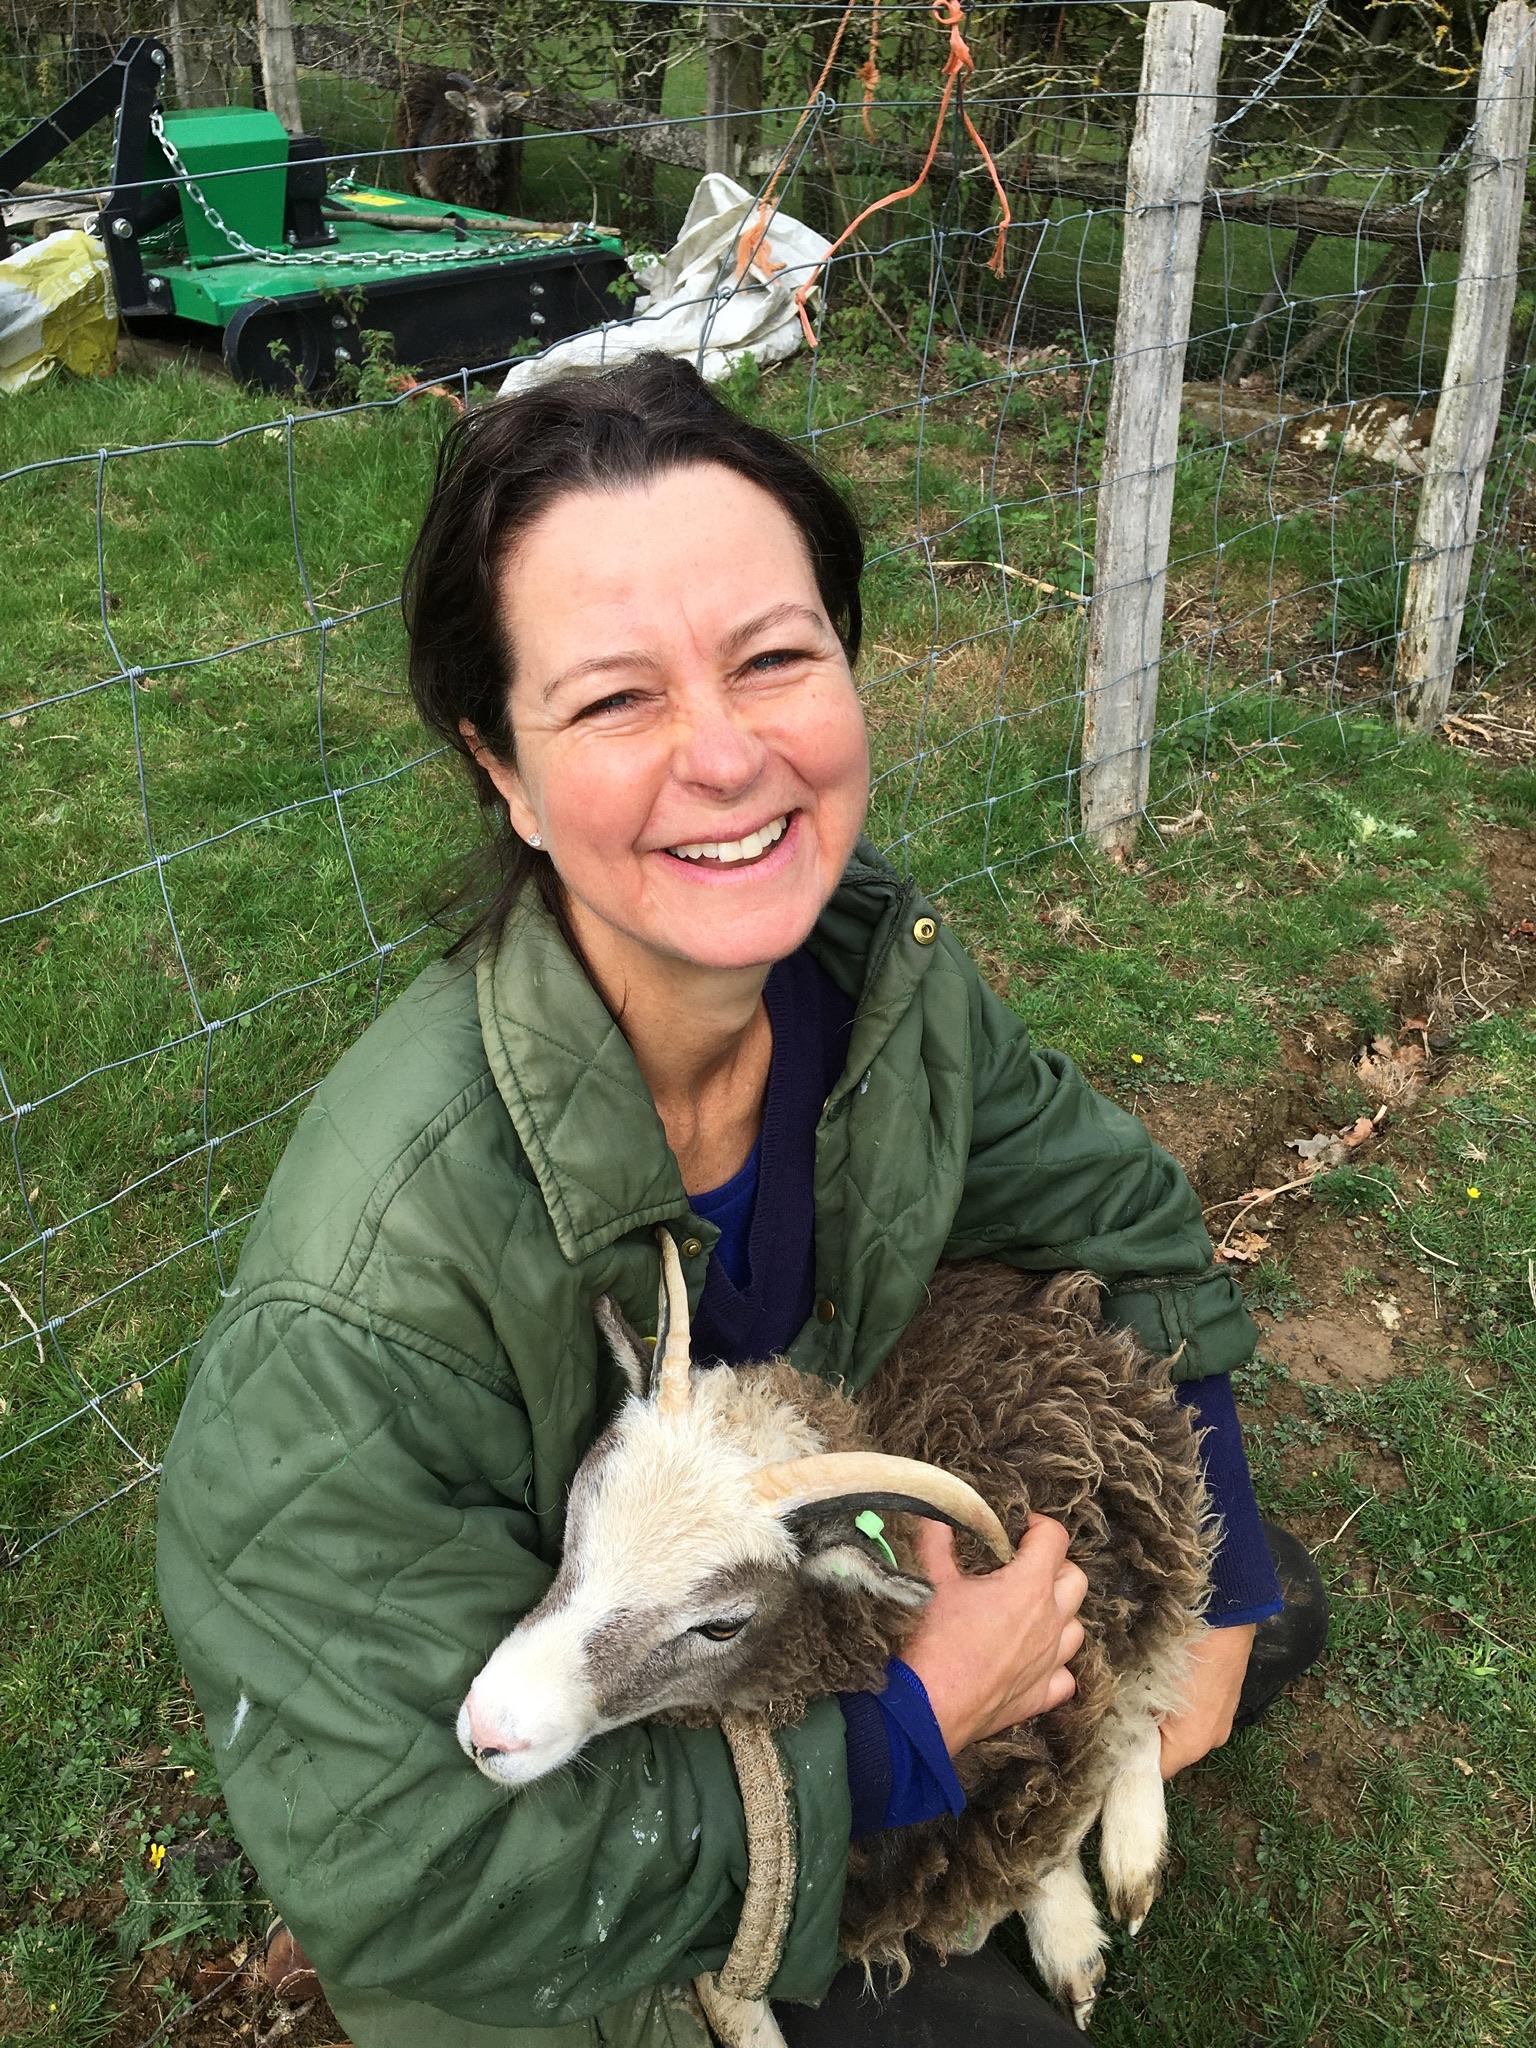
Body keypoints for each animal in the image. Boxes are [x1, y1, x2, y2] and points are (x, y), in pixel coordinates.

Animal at [396, 67, 526, 215]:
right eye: (471, 109)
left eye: (502, 111)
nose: (494, 129)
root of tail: (433, 72)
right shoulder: (446, 194)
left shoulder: (492, 201)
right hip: (414, 172)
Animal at [460, 1234, 1213, 2039]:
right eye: (575, 1516)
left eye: (722, 1624)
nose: (487, 1732)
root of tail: (1047, 1295)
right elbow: (736, 2013)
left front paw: (1068, 1923)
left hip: (1154, 1533)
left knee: (1152, 1682)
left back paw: (1128, 1866)